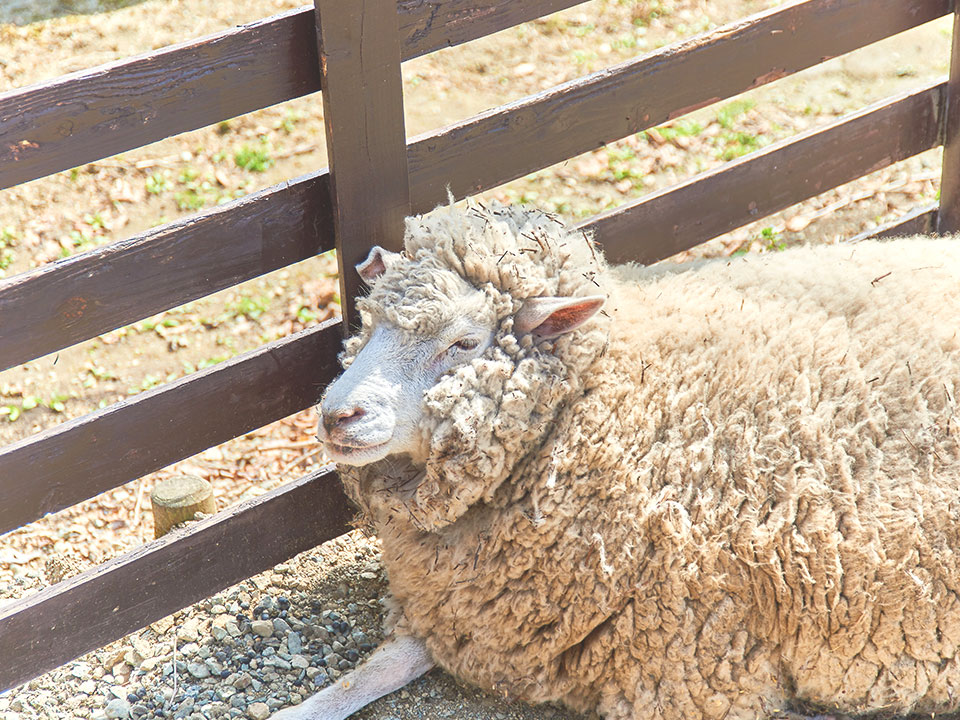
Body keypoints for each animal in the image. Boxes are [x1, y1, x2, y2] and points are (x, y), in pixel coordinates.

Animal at [270, 204, 960, 720]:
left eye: (464, 342)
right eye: (370, 321)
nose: (336, 416)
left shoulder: (693, 665)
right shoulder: (464, 618)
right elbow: (368, 673)